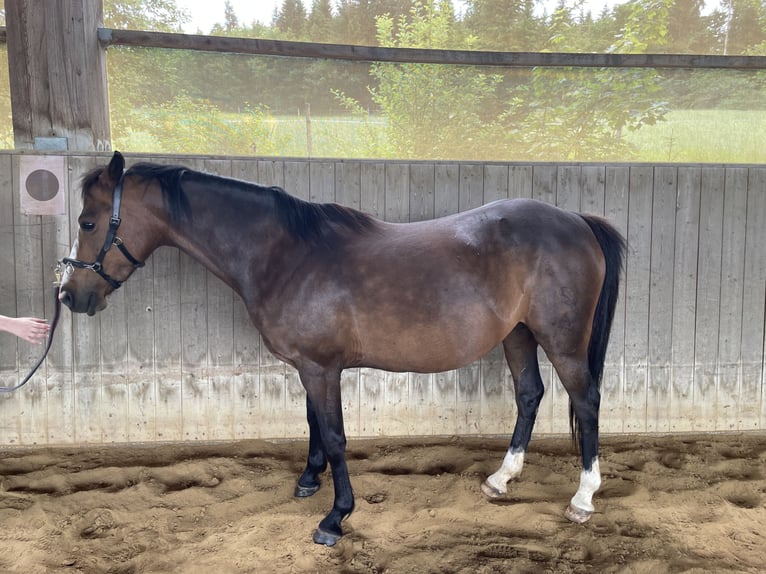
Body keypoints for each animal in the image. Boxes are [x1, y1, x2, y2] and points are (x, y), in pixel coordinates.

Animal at [60, 151, 626, 546]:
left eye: (89, 223)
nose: (70, 296)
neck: (285, 254)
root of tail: (577, 221)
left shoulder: (320, 367)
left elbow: (333, 435)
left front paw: (336, 516)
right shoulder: (310, 366)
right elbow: (313, 423)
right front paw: (310, 480)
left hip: (561, 339)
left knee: (586, 401)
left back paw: (582, 498)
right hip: (518, 334)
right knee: (529, 395)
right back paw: (501, 479)